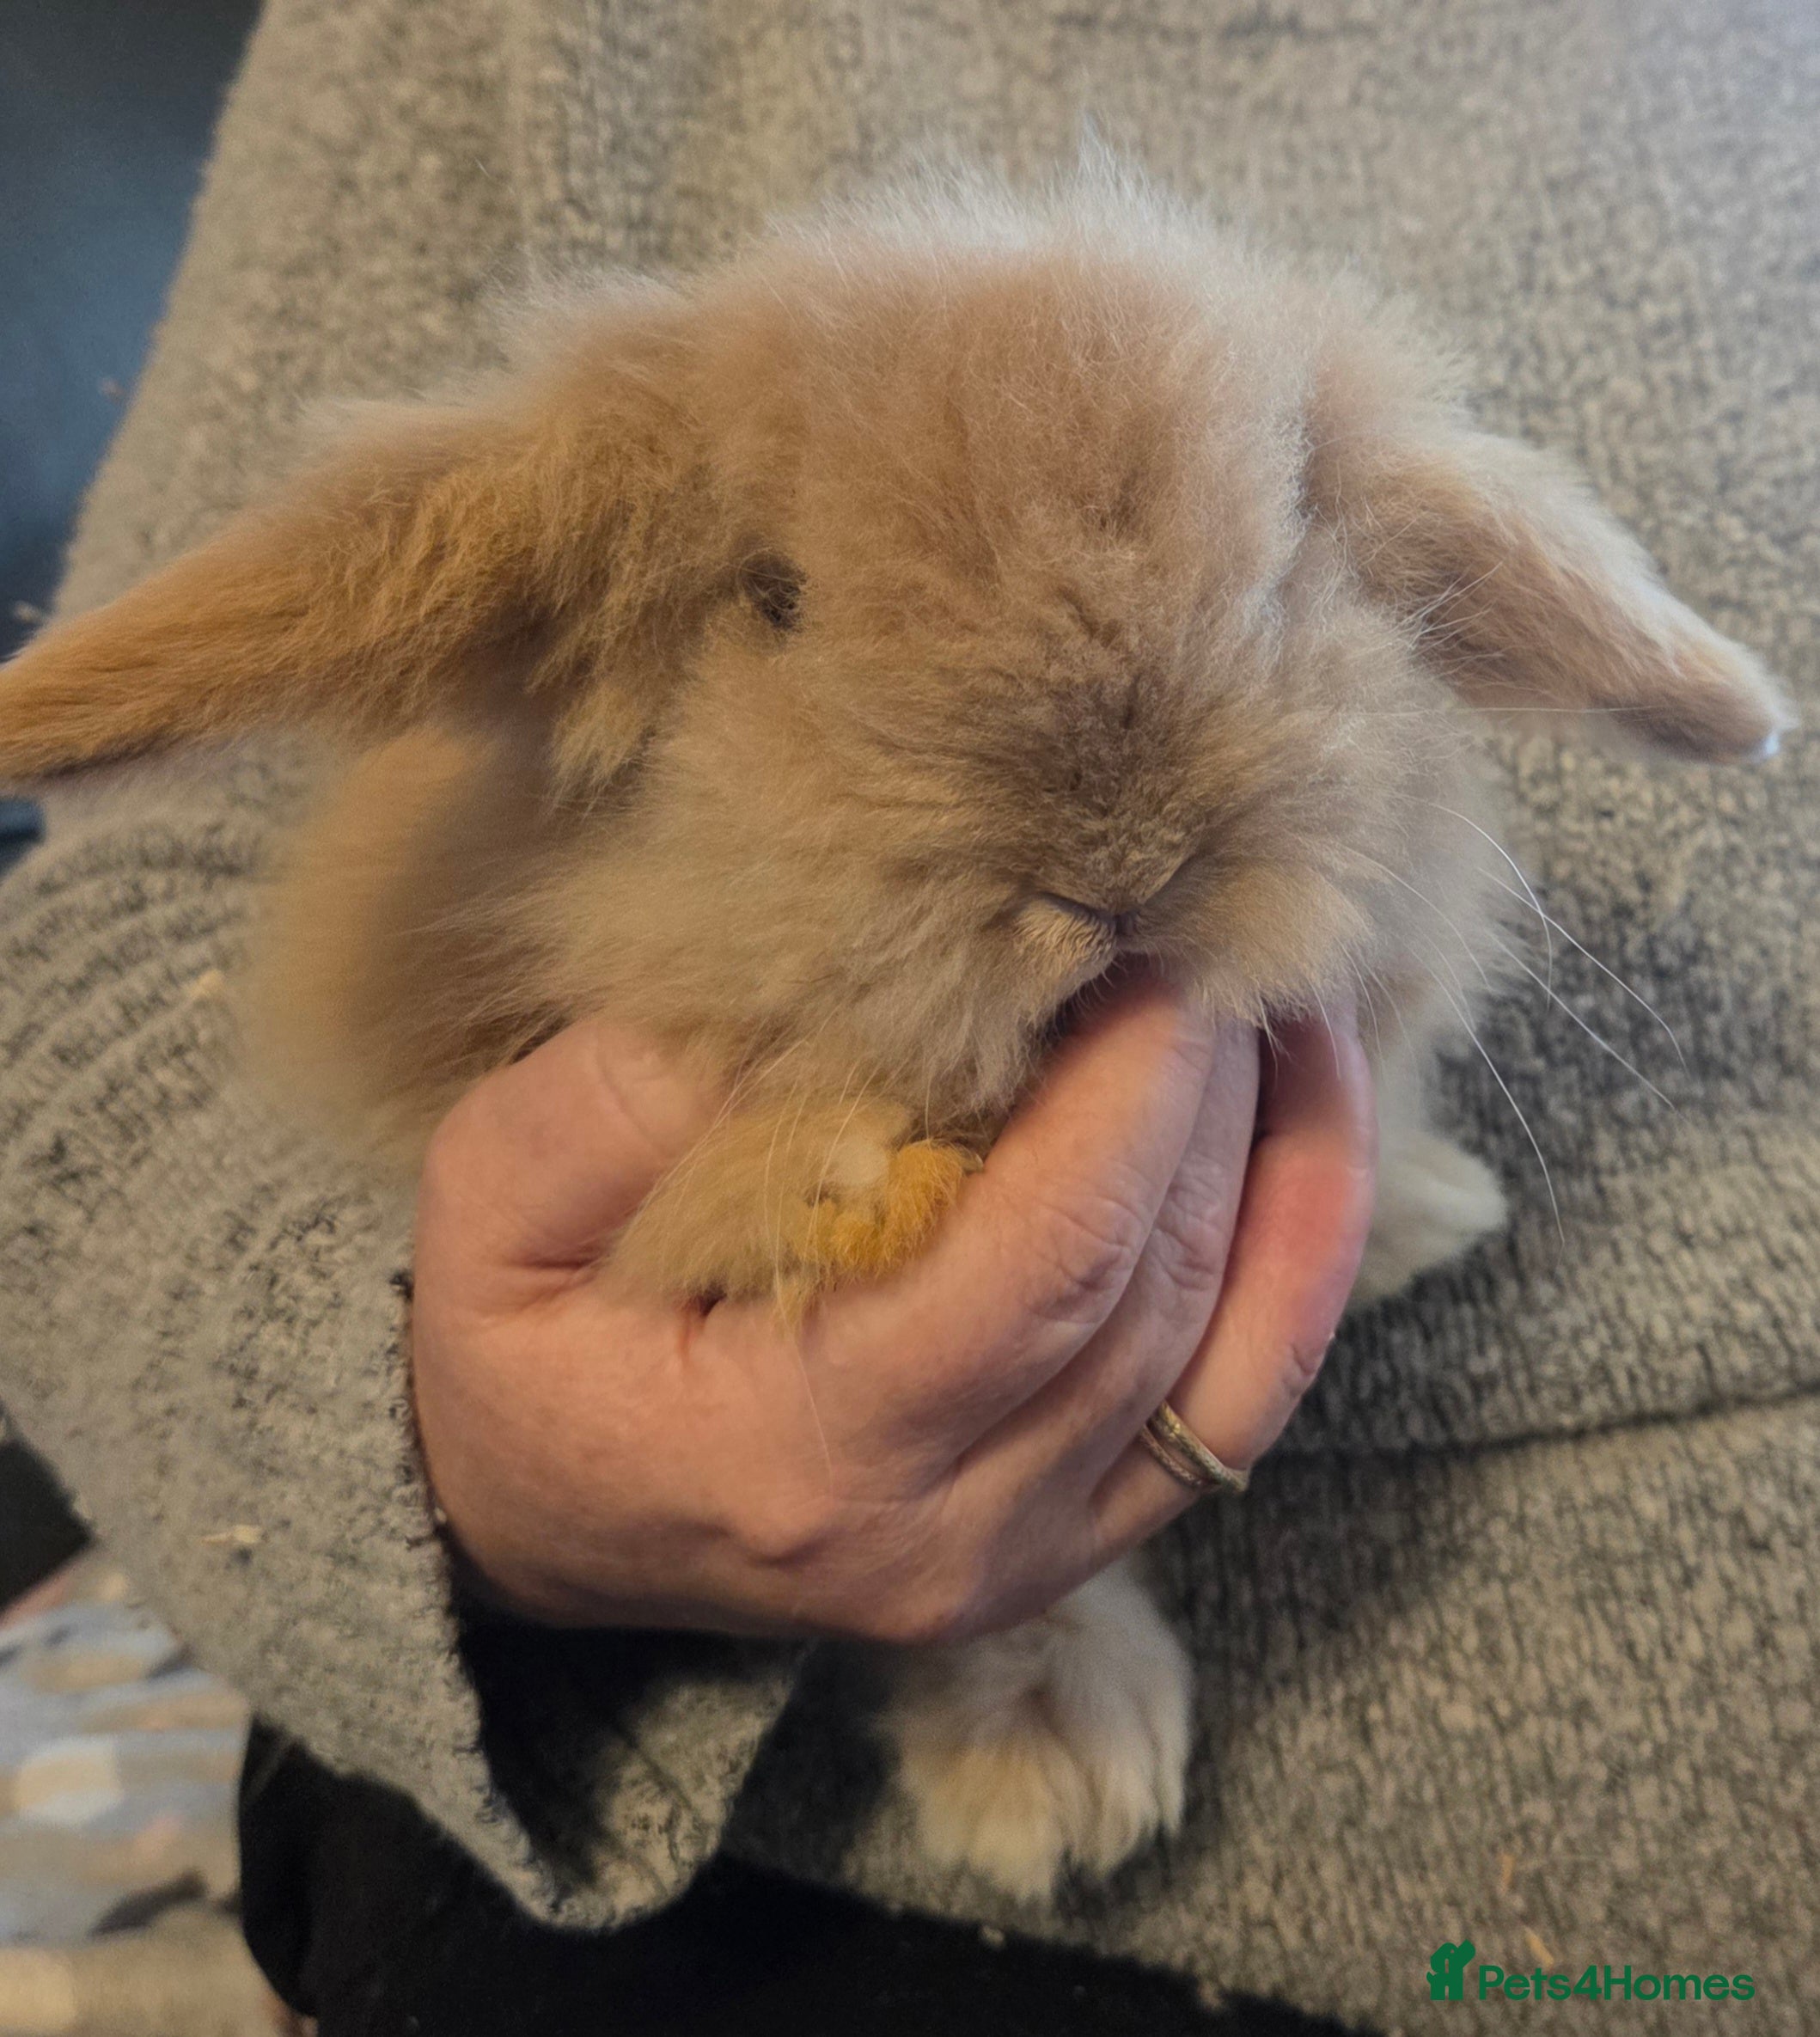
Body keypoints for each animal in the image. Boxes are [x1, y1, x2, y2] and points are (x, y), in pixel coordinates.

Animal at [0, 159, 1790, 1901]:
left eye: (1286, 561)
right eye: (772, 598)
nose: (1122, 867)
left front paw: (1416, 1199)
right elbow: (983, 1558)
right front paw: (1054, 1777)